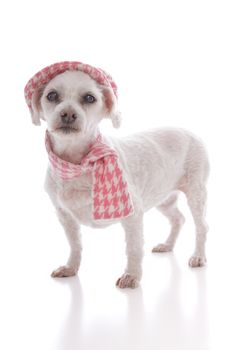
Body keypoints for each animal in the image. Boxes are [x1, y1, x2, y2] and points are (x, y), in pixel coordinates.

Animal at [24, 61, 208, 288]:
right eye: (51, 95)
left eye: (89, 98)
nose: (67, 114)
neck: (77, 164)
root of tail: (191, 132)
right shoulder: (65, 215)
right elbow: (75, 245)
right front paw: (70, 267)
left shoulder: (133, 214)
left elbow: (134, 248)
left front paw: (132, 276)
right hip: (164, 198)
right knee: (178, 219)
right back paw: (167, 245)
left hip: (196, 193)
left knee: (202, 226)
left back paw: (199, 256)